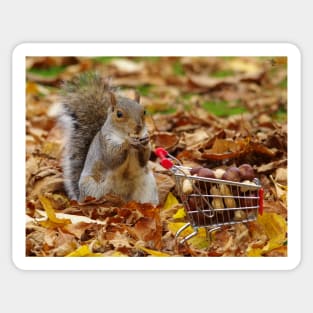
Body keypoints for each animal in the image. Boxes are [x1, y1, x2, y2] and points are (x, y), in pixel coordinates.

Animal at [57, 73, 158, 205]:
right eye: (119, 114)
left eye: (144, 111)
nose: (139, 127)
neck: (124, 135)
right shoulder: (105, 142)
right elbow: (112, 157)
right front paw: (128, 143)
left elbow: (144, 159)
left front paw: (146, 142)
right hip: (92, 188)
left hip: (148, 188)